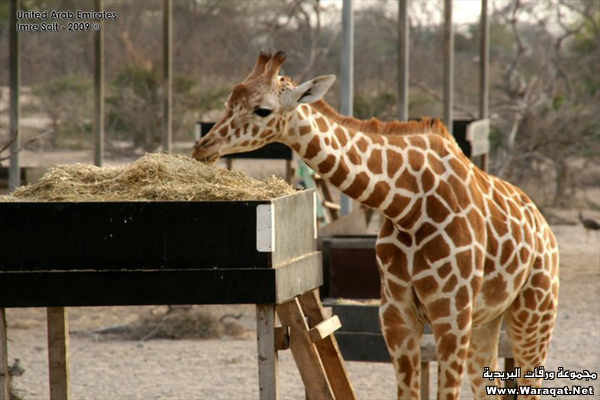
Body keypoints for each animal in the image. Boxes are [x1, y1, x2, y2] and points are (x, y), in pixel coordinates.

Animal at [191, 51, 556, 398]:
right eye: (228, 101)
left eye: (263, 110)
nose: (202, 148)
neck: (408, 207)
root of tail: (544, 228)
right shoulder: (396, 318)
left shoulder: (451, 317)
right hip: (487, 321)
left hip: (533, 316)